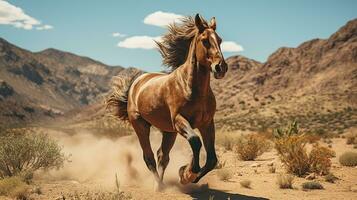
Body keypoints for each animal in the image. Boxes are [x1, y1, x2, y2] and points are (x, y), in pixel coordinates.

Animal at [106, 14, 228, 191]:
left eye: (219, 40)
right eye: (205, 40)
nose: (221, 67)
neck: (189, 87)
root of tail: (136, 83)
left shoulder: (206, 123)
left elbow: (212, 159)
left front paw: (186, 174)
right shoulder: (179, 120)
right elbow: (195, 141)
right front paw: (187, 173)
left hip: (169, 131)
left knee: (162, 156)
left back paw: (161, 183)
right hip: (141, 125)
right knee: (149, 157)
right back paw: (158, 186)